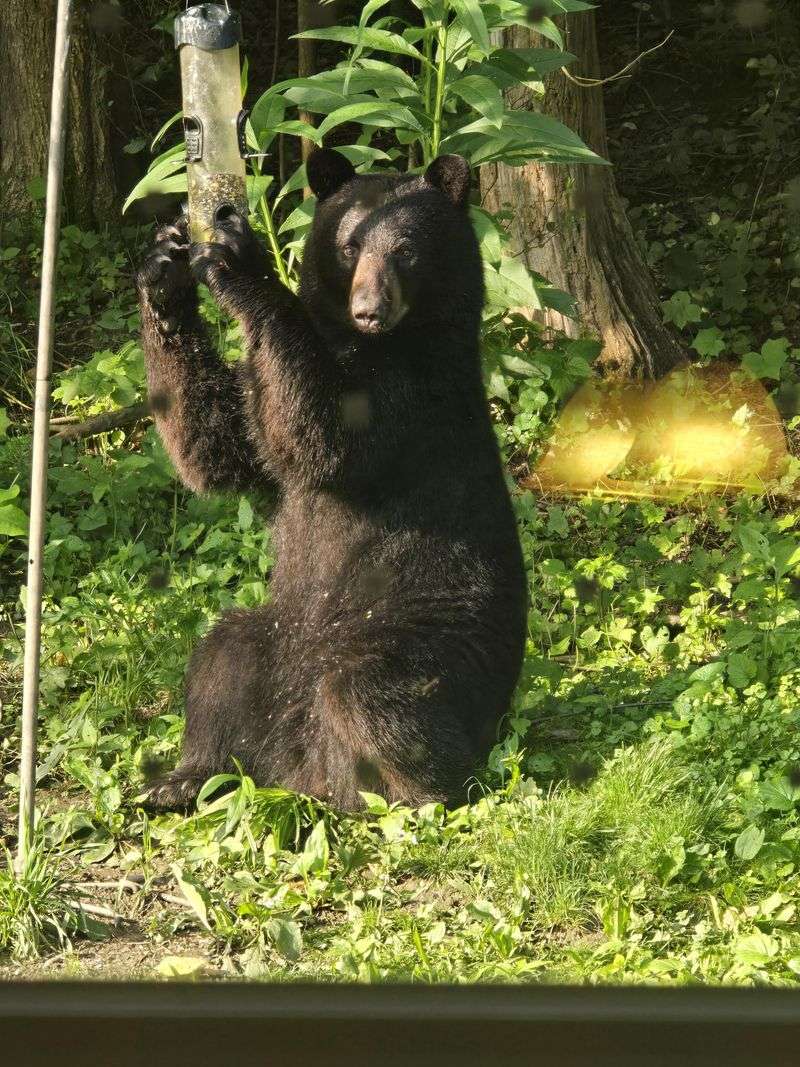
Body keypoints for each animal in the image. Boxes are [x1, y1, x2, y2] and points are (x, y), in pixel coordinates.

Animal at [137, 149, 528, 810]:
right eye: (349, 246)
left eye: (407, 251)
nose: (371, 308)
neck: (365, 342)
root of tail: (306, 771)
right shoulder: (263, 397)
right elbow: (224, 446)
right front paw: (165, 266)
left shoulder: (416, 393)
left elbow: (323, 436)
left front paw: (237, 260)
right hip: (278, 634)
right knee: (222, 656)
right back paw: (183, 777)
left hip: (437, 649)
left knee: (374, 691)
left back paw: (418, 796)